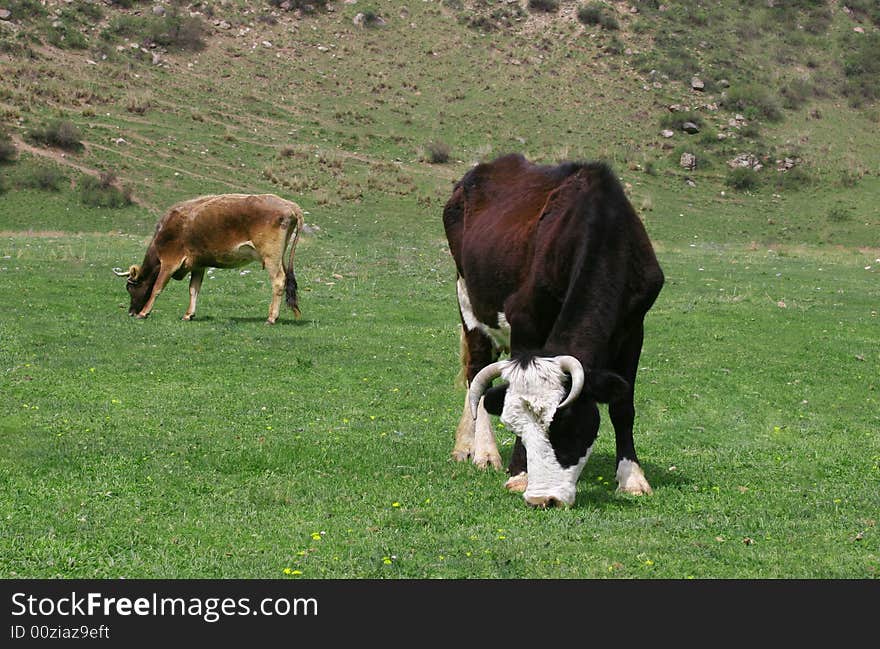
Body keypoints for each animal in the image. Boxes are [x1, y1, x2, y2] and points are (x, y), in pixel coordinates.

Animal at [114, 192, 306, 324]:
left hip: (271, 256)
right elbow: (193, 289)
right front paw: (188, 314)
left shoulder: (169, 262)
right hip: (279, 256)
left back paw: (271, 317)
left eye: (130, 288)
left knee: (278, 280)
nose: (131, 312)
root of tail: (289, 205)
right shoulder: (198, 265)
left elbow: (157, 288)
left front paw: (144, 313)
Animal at [444, 154, 664, 508]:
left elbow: (623, 406)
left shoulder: (633, 328)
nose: (542, 498)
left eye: (567, 425)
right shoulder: (524, 320)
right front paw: (519, 474)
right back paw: (484, 452)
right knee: (476, 372)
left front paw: (632, 478)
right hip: (469, 301)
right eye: (516, 426)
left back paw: (466, 445)